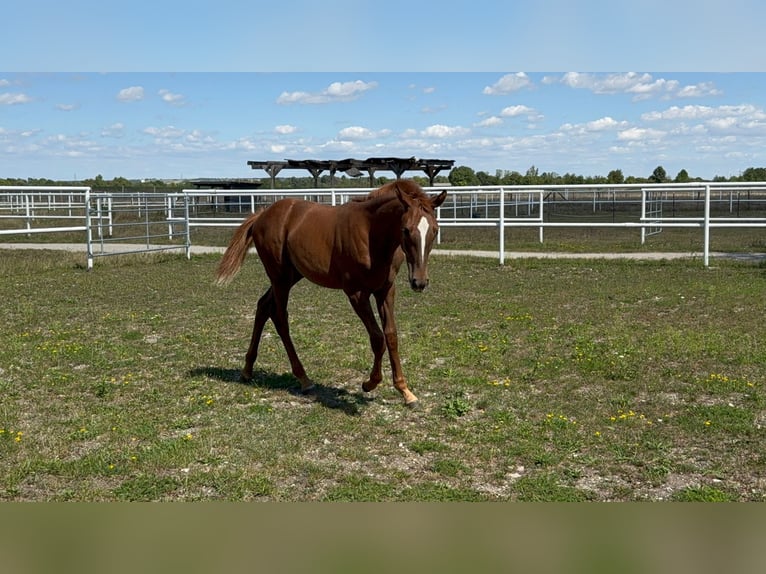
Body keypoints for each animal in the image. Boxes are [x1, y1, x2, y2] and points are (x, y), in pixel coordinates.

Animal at [215, 179, 448, 407]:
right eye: (406, 230)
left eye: (435, 230)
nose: (419, 282)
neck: (371, 234)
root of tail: (262, 215)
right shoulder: (356, 294)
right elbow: (377, 338)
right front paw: (369, 383)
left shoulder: (386, 290)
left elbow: (391, 336)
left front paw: (406, 392)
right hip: (279, 278)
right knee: (280, 318)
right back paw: (304, 379)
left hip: (291, 276)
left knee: (263, 306)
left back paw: (247, 371)